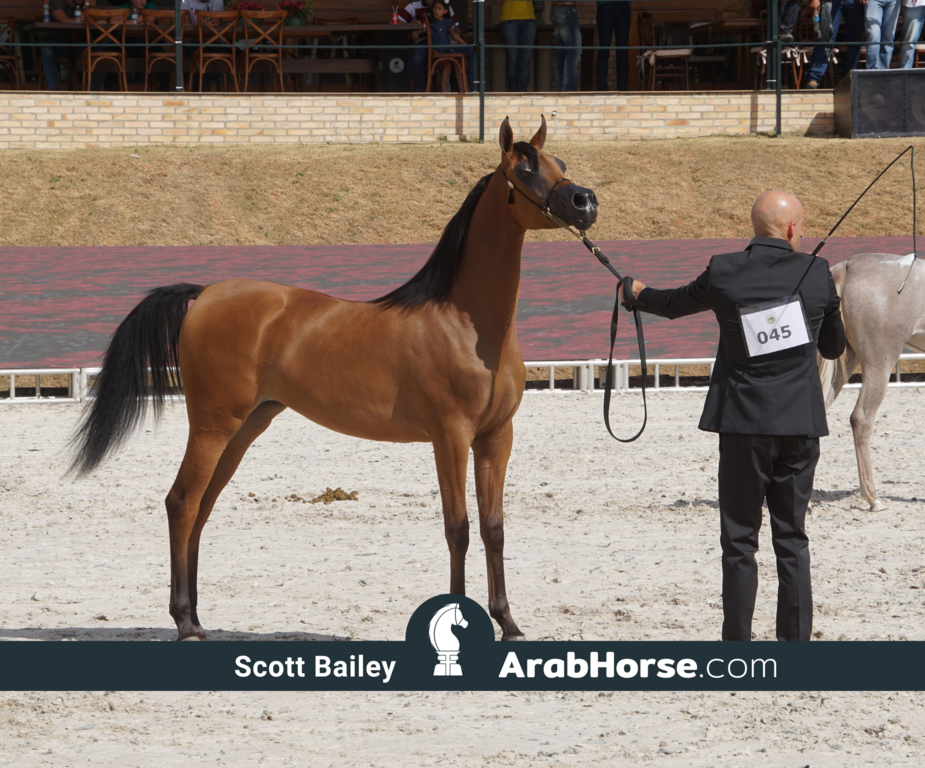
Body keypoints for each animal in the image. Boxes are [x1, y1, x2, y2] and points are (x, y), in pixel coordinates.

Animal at [69, 116, 599, 642]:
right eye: (525, 168)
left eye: (560, 161)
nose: (585, 201)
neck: (467, 324)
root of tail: (206, 293)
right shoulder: (450, 436)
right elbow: (459, 528)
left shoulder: (495, 436)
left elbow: (493, 527)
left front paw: (508, 622)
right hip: (213, 427)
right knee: (181, 502)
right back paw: (184, 622)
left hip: (243, 429)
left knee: (201, 507)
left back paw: (197, 617)